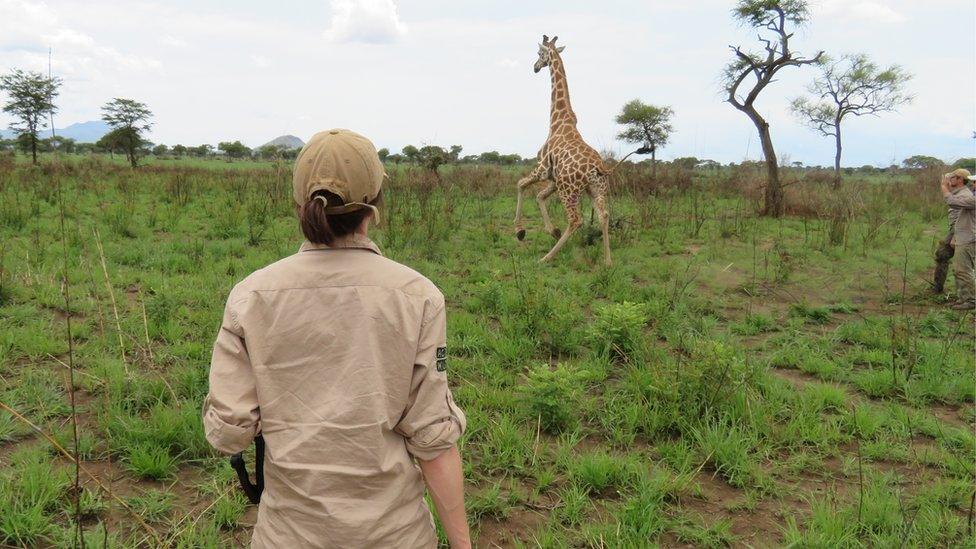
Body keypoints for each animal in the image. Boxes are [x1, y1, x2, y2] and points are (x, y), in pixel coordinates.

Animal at [516, 34, 612, 266]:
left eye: (539, 53)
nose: (535, 67)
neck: (558, 120)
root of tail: (598, 168)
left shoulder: (542, 169)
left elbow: (521, 184)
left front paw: (519, 230)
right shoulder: (554, 178)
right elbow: (540, 196)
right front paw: (553, 230)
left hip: (569, 190)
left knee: (576, 220)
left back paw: (546, 257)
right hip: (594, 189)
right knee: (604, 215)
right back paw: (607, 261)